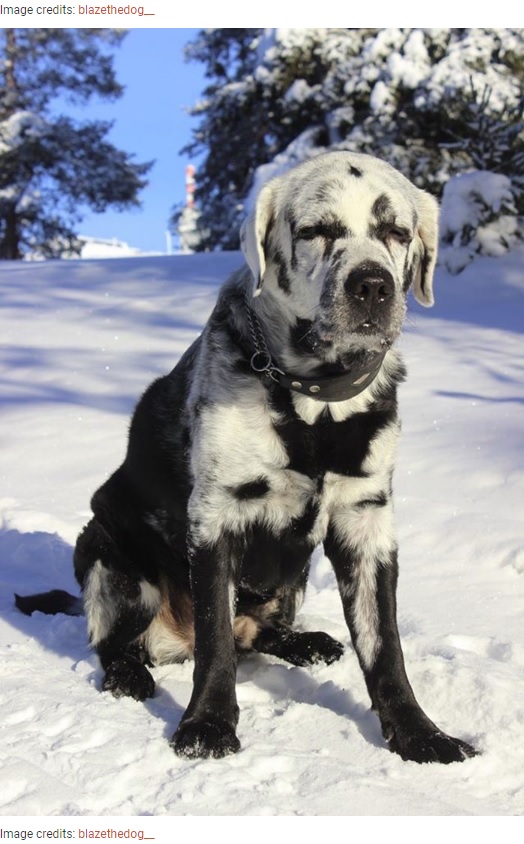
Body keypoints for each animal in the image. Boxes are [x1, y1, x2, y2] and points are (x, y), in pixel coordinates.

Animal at [18, 152, 476, 764]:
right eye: (316, 230)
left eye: (396, 232)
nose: (372, 285)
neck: (316, 404)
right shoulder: (216, 518)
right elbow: (215, 640)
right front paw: (207, 725)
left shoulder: (368, 519)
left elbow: (385, 647)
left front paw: (421, 734)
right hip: (109, 556)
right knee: (118, 642)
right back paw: (128, 674)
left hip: (293, 577)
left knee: (261, 632)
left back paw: (305, 642)